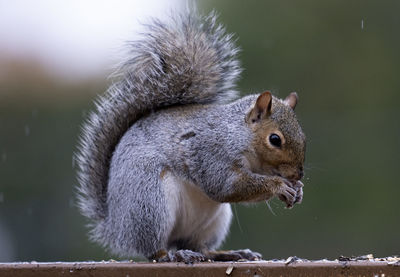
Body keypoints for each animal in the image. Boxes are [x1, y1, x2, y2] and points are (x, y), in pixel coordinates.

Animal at [76, 9, 306, 264]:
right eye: (275, 139)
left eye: (303, 136)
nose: (298, 174)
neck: (240, 136)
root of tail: (116, 228)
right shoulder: (211, 152)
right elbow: (226, 186)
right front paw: (280, 186)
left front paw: (297, 190)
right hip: (149, 202)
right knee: (155, 249)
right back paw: (173, 255)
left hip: (213, 222)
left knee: (200, 247)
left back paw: (228, 253)